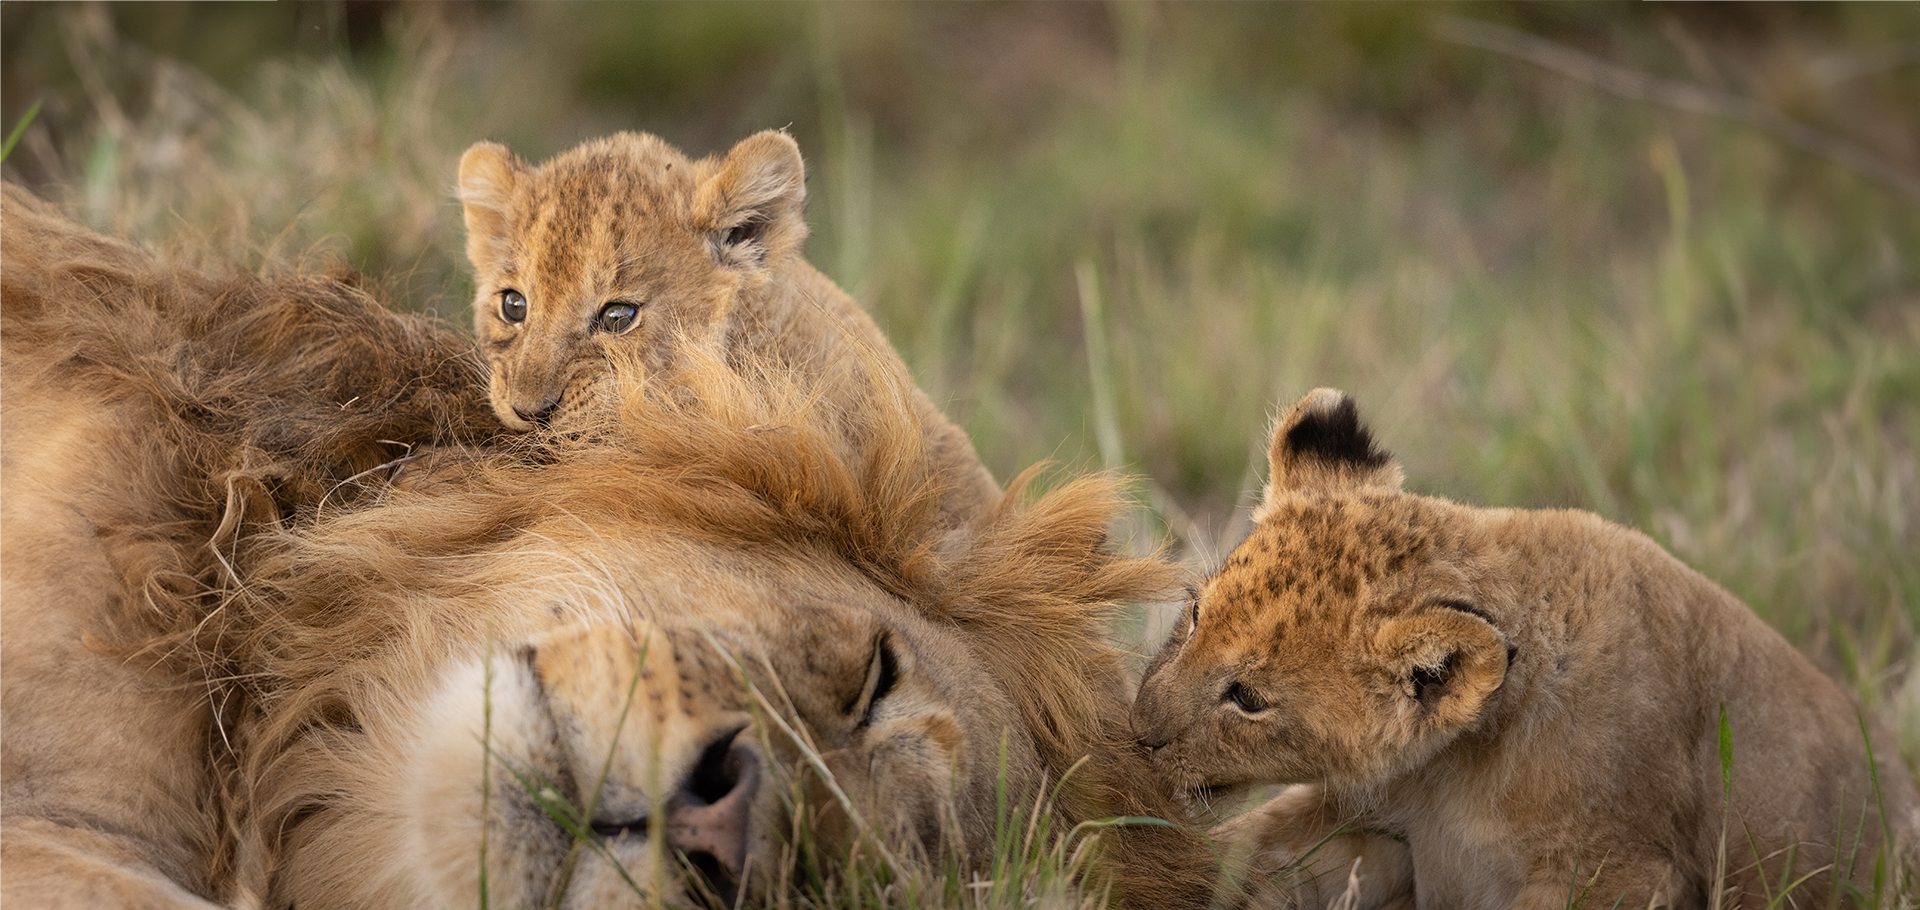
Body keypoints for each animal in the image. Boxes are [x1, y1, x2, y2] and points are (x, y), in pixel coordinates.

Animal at [1132, 388, 1918, 910]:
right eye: (1195, 615)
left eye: (1249, 699)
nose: (1137, 732)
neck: (1452, 768)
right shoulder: (1368, 822)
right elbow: (1246, 857)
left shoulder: (1617, 873)